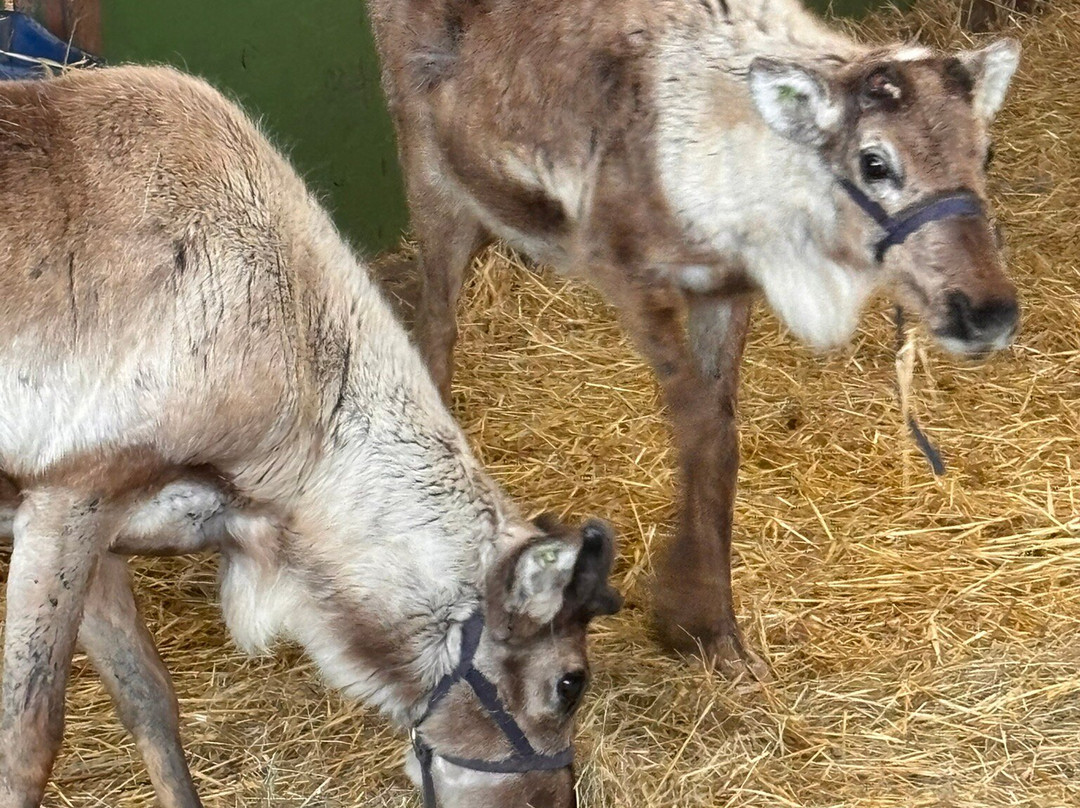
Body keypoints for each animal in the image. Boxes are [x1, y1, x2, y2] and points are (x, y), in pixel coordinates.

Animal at [0, 64, 622, 808]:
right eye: (570, 683)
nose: (555, 800)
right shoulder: (72, 490)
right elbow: (28, 742)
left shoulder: (87, 514)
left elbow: (147, 696)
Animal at [365, 0, 1022, 678]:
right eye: (874, 162)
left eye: (987, 151)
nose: (987, 311)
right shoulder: (630, 277)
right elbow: (696, 425)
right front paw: (686, 613)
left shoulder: (726, 290)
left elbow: (721, 439)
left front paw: (720, 633)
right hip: (431, 173)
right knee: (435, 325)